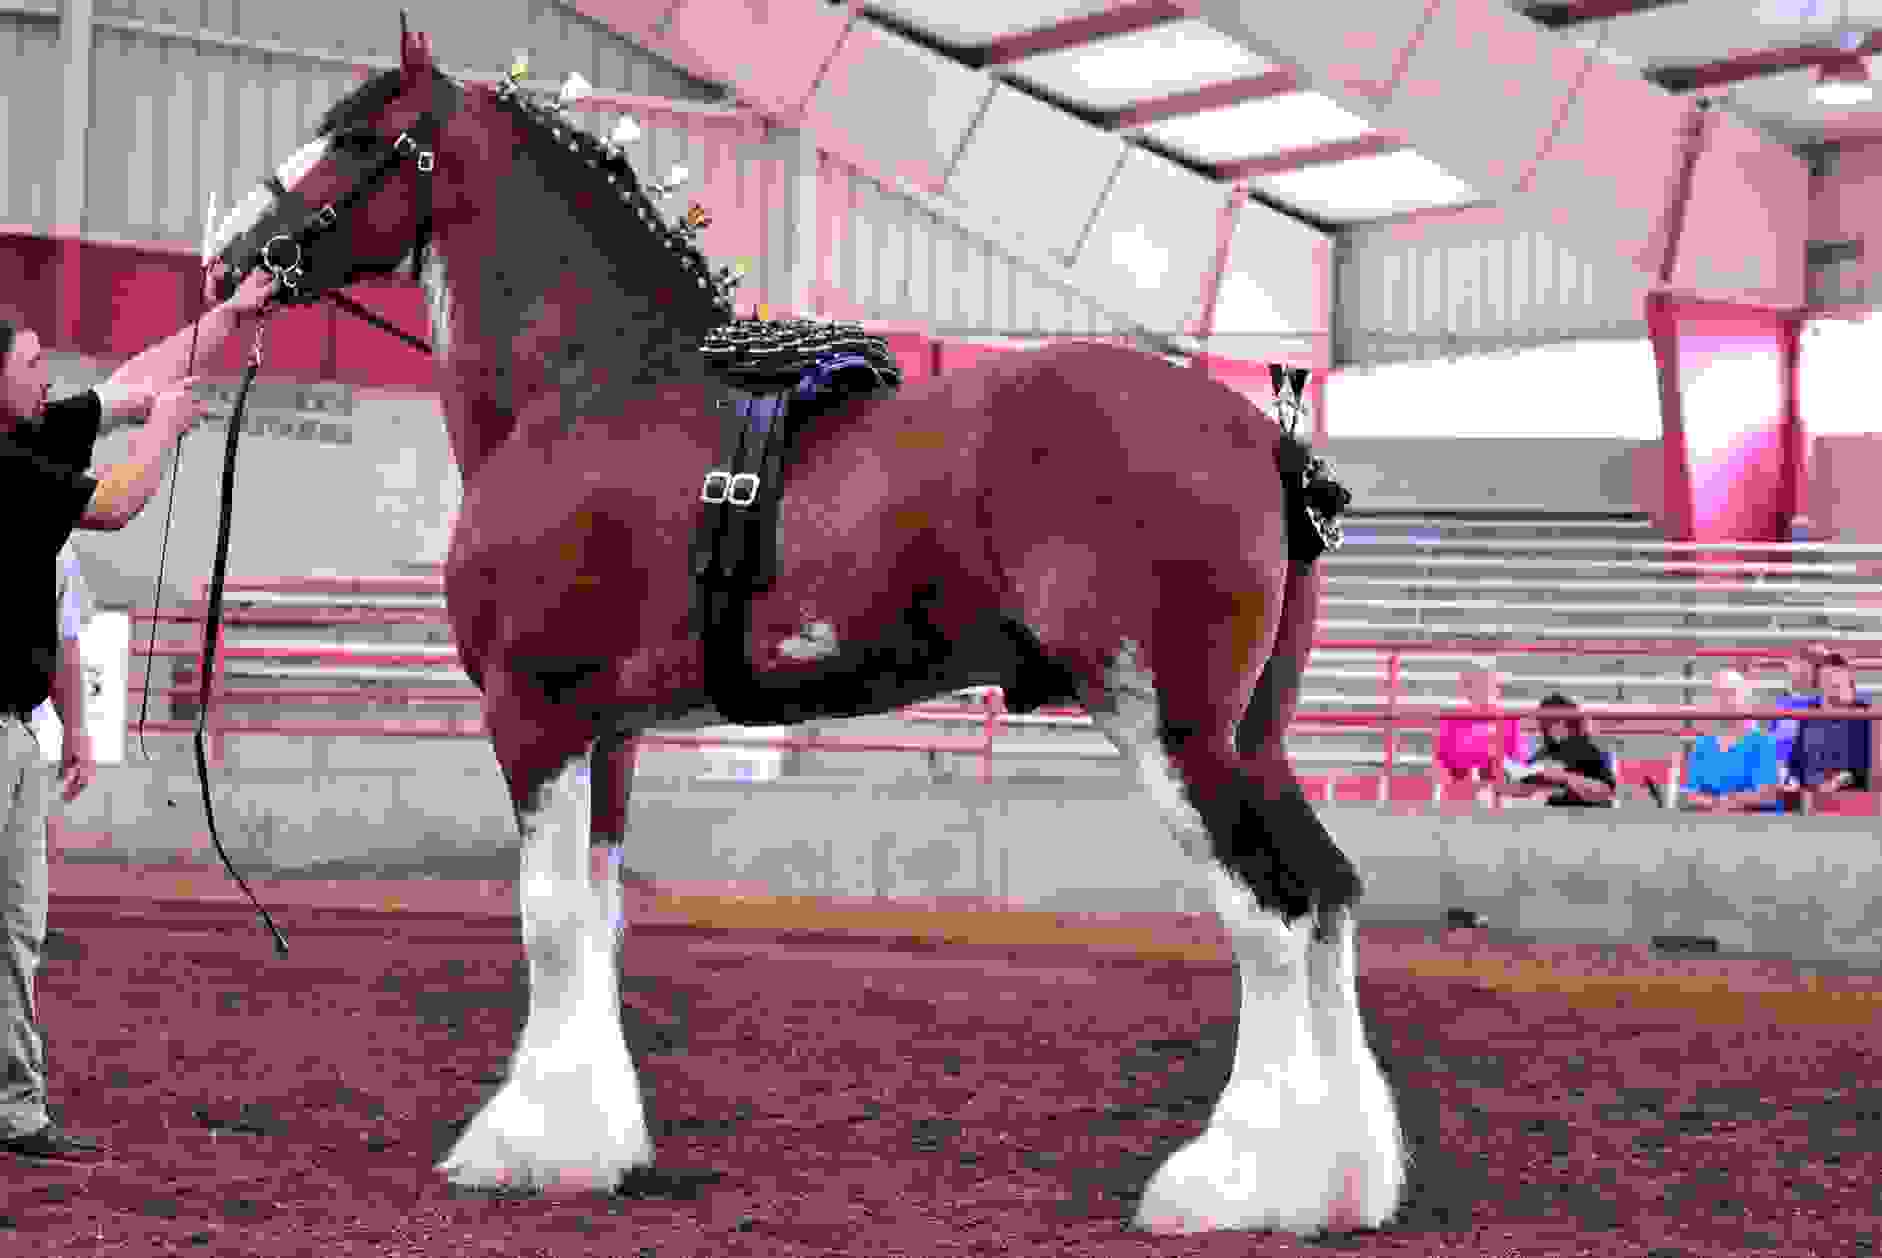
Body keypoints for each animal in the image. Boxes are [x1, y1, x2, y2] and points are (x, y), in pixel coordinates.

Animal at [199, 17, 1406, 1234]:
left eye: (358, 139)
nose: (226, 251)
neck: (587, 392)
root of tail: (1265, 436)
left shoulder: (531, 713)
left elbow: (545, 919)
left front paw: (519, 1147)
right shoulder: (609, 733)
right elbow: (596, 914)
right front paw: (595, 1141)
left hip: (1172, 731)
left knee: (1269, 915)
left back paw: (1229, 1183)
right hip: (1252, 736)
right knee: (1330, 901)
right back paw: (1340, 1183)